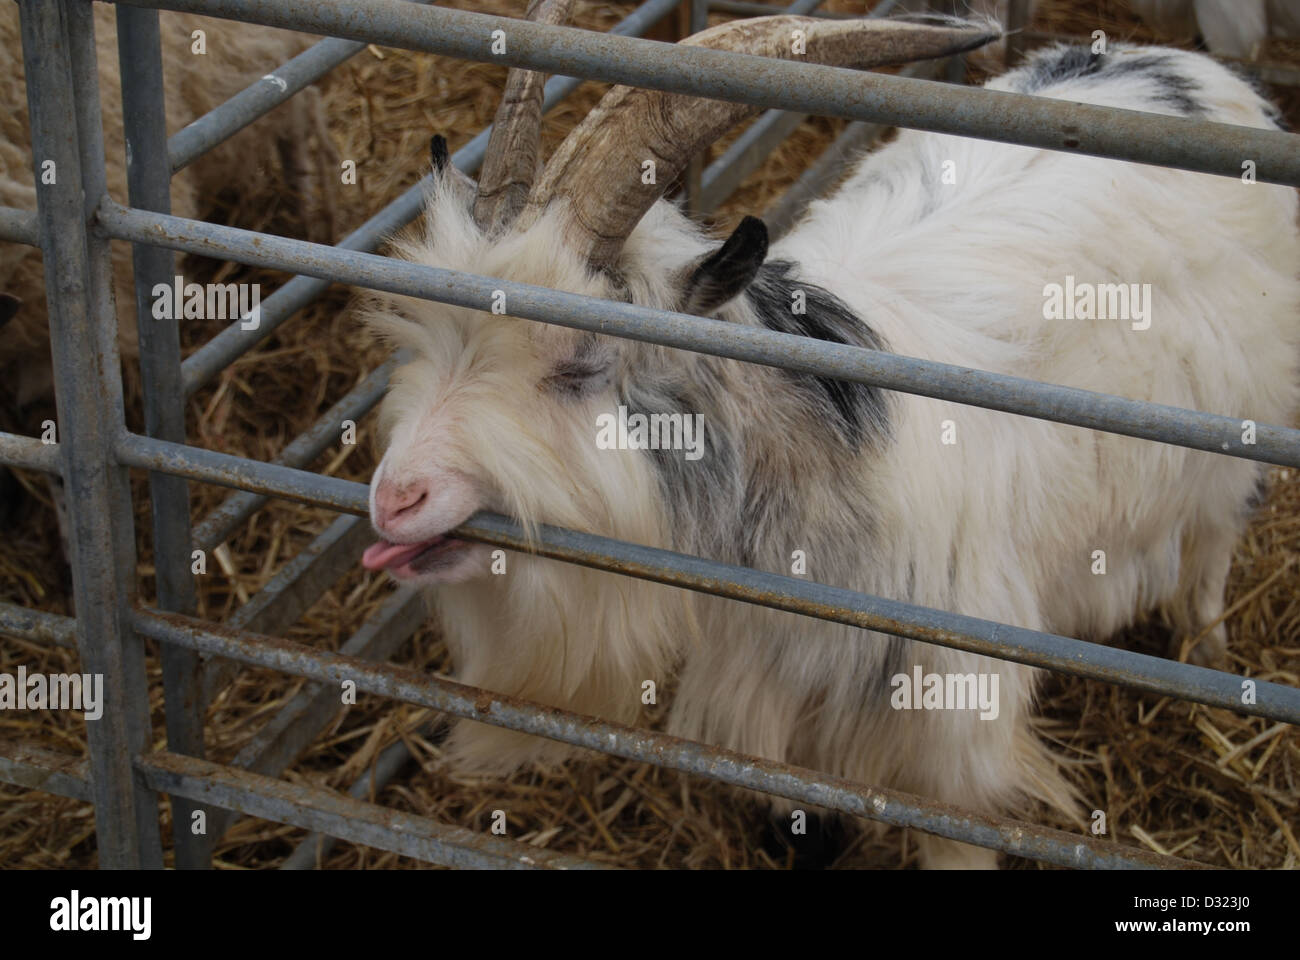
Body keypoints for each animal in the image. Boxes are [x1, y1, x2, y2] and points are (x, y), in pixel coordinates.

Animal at [356, 1, 1300, 868]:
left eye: (582, 364)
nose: (396, 499)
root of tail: (1186, 66)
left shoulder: (948, 751)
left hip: (1229, 451)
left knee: (1211, 548)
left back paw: (1209, 651)